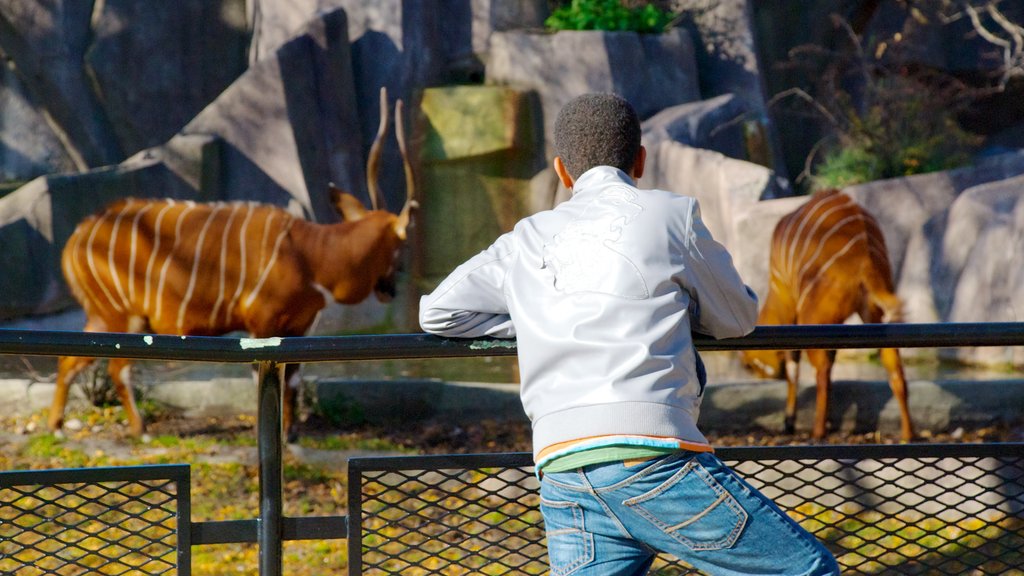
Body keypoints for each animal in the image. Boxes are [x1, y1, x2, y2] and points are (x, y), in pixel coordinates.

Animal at [51, 87, 415, 438]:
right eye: (400, 244)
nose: (391, 289)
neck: (310, 252)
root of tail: (76, 236)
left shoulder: (299, 327)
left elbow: (293, 380)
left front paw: (293, 433)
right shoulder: (263, 325)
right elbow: (266, 379)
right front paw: (280, 434)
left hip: (121, 319)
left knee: (74, 362)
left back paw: (60, 426)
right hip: (116, 316)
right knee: (107, 366)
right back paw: (136, 432)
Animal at [741, 188, 917, 438]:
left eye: (752, 365)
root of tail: (866, 261)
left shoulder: (790, 302)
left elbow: (794, 363)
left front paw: (789, 421)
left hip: (812, 316)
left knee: (821, 371)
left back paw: (817, 433)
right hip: (872, 314)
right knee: (895, 369)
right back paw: (907, 435)